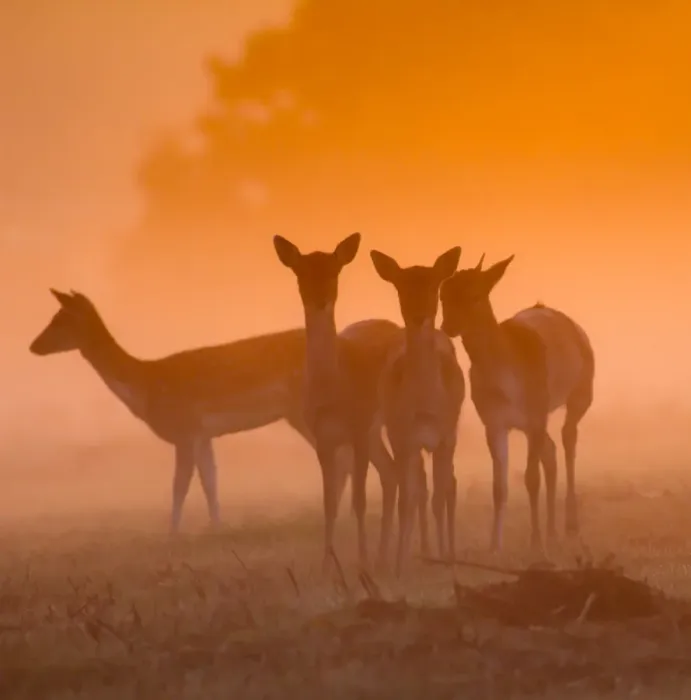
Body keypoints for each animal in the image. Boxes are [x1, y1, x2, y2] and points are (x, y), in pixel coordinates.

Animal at [28, 289, 398, 535]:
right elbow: (211, 480)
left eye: (62, 320)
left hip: (307, 413)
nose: (33, 346)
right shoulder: (202, 434)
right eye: (53, 317)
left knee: (346, 459)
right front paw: (216, 527)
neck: (147, 386)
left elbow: (180, 484)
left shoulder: (185, 428)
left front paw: (173, 534)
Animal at [273, 232, 430, 574]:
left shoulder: (358, 427)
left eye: (335, 271)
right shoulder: (323, 436)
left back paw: (418, 551)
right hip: (375, 433)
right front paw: (326, 565)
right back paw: (387, 555)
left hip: (390, 423)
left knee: (415, 477)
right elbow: (329, 502)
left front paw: (362, 562)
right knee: (392, 472)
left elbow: (358, 500)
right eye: (300, 272)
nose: (320, 299)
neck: (335, 389)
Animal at [370, 246, 465, 577]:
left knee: (449, 486)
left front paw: (447, 560)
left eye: (435, 285)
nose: (419, 316)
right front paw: (399, 567)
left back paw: (445, 552)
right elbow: (406, 499)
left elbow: (440, 495)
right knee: (420, 486)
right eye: (401, 286)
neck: (424, 404)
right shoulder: (402, 438)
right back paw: (422, 552)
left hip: (450, 436)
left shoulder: (445, 436)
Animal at [439, 254, 595, 554]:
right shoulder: (493, 421)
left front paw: (534, 542)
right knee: (550, 450)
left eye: (475, 295)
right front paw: (494, 546)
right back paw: (552, 532)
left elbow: (530, 478)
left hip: (581, 392)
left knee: (568, 437)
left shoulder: (535, 412)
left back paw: (570, 526)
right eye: (443, 294)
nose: (448, 326)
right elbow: (499, 487)